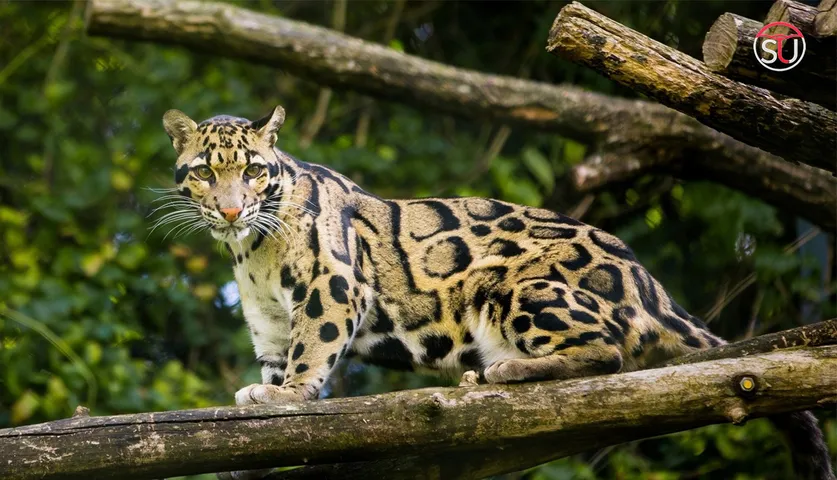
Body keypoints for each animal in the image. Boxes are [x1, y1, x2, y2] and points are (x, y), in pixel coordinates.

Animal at [160, 105, 835, 480]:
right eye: (206, 172)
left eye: (254, 171)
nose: (231, 209)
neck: (252, 248)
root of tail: (653, 288)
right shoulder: (268, 320)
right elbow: (277, 363)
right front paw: (264, 404)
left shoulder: (334, 284)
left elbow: (312, 350)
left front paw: (292, 396)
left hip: (515, 288)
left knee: (610, 351)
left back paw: (502, 371)